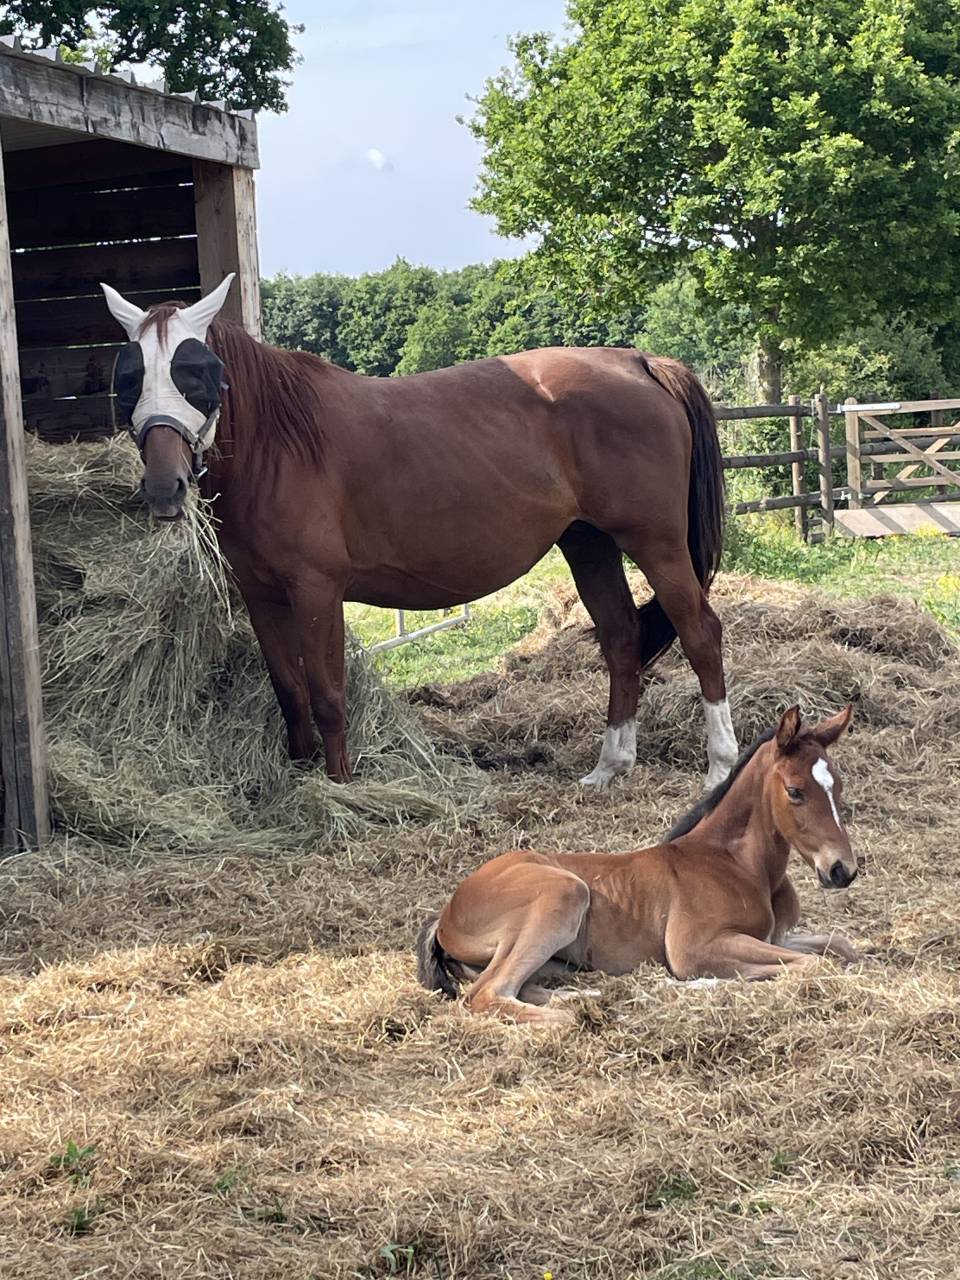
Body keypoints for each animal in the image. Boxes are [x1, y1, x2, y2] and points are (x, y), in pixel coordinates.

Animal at [100, 275, 738, 790]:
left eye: (199, 373)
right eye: (129, 376)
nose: (164, 487)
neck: (279, 444)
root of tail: (638, 363)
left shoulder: (316, 591)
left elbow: (328, 695)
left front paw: (342, 788)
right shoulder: (262, 596)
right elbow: (290, 693)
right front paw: (300, 778)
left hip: (655, 543)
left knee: (701, 632)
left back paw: (720, 766)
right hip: (589, 545)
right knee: (622, 638)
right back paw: (610, 767)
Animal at [417, 704, 861, 1024]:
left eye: (838, 785)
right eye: (795, 791)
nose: (843, 870)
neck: (738, 864)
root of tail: (446, 912)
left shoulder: (776, 936)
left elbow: (841, 946)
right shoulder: (693, 948)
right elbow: (811, 964)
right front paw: (698, 985)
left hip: (551, 958)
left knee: (521, 987)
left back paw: (592, 995)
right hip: (563, 893)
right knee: (489, 993)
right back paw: (579, 1013)